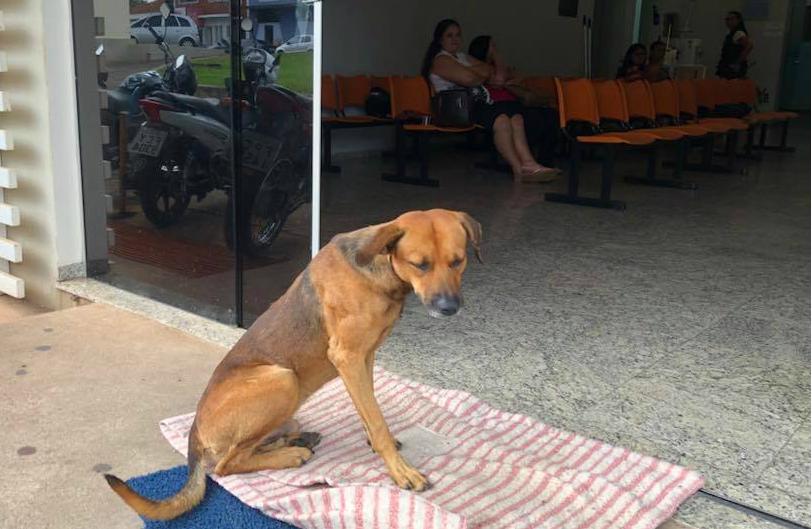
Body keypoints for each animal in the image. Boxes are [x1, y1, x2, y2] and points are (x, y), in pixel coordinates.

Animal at [104, 208, 478, 516]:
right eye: (420, 264)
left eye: (458, 261)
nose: (449, 308)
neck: (380, 265)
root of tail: (194, 432)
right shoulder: (348, 357)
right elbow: (376, 419)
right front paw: (400, 470)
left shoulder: (365, 357)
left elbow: (370, 411)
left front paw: (376, 443)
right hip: (284, 380)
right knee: (225, 466)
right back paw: (290, 454)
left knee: (250, 449)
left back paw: (294, 441)